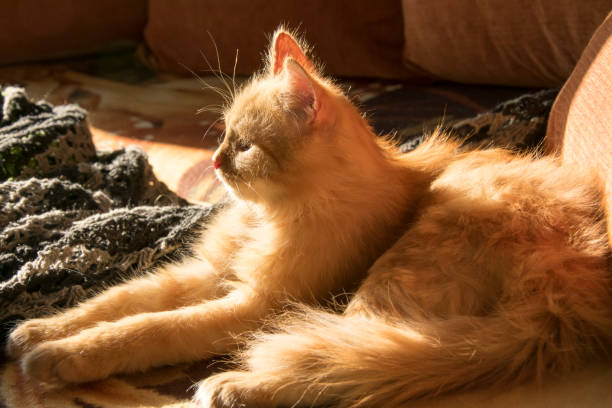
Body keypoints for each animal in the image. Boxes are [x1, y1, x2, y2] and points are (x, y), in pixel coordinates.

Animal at [5, 29, 612, 408]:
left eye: (245, 146)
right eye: (223, 135)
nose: (215, 163)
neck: (267, 216)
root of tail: (568, 280)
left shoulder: (252, 304)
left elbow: (145, 330)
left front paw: (57, 358)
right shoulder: (205, 275)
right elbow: (113, 303)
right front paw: (39, 331)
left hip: (391, 282)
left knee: (339, 361)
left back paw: (233, 388)